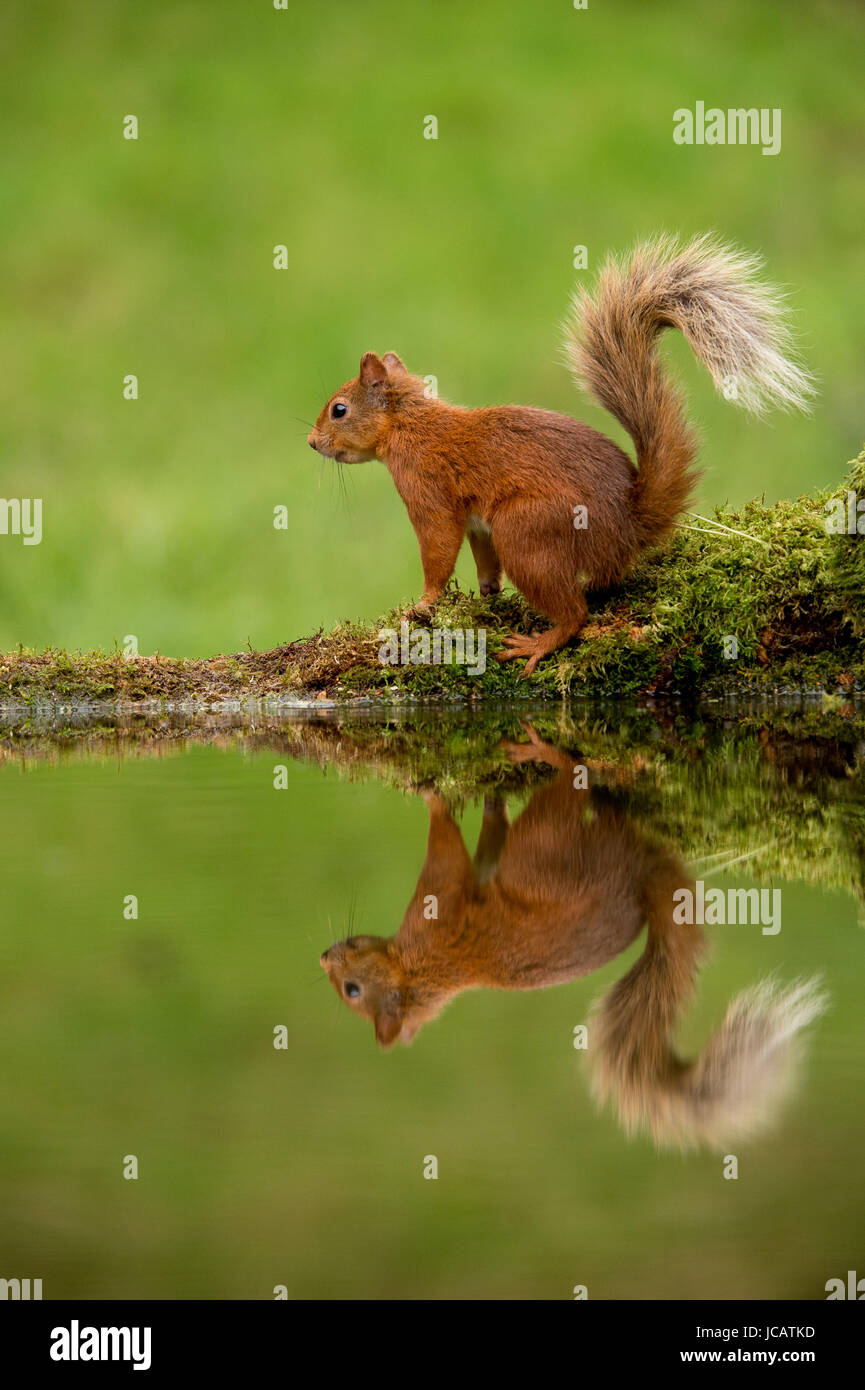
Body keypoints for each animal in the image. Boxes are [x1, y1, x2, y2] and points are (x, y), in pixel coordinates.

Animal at [310, 233, 812, 672]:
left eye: (339, 409)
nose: (312, 442)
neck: (412, 427)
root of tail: (629, 525)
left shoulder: (429, 494)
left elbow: (437, 551)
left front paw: (423, 605)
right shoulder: (477, 525)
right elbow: (483, 560)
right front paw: (487, 594)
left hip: (528, 530)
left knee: (576, 613)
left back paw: (538, 643)